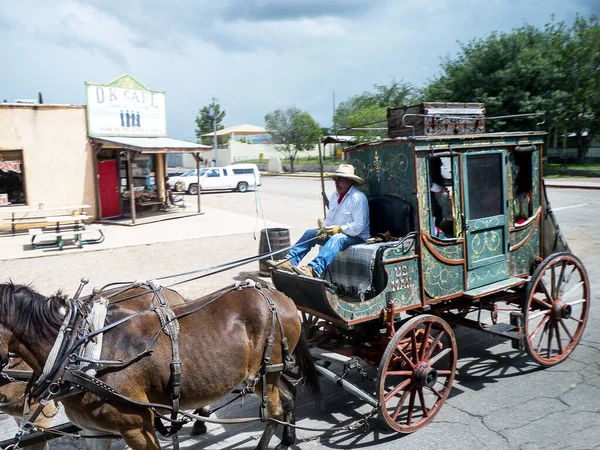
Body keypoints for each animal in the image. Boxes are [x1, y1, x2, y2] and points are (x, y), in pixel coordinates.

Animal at [0, 284, 322, 448]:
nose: (9, 401)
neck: (79, 354)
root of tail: (280, 296)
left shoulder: (136, 426)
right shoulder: (93, 431)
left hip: (264, 373)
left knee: (274, 411)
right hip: (265, 375)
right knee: (288, 396)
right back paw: (288, 438)